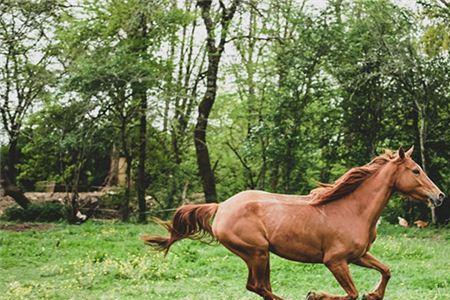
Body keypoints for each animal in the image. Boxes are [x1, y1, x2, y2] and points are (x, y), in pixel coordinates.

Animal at [142, 146, 444, 298]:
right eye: (415, 170)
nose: (439, 196)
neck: (352, 210)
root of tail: (222, 206)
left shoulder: (358, 256)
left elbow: (386, 271)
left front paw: (374, 294)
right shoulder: (335, 261)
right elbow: (351, 293)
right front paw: (316, 295)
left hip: (260, 255)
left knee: (260, 287)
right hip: (257, 253)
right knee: (258, 287)